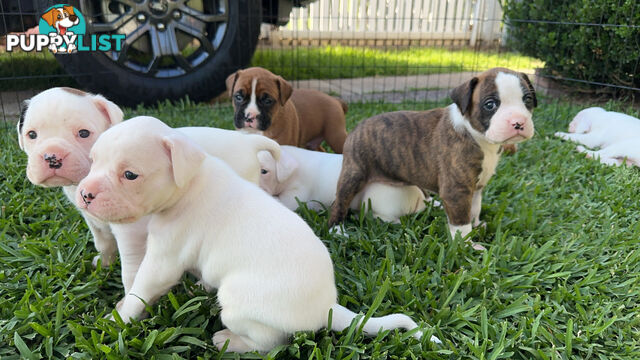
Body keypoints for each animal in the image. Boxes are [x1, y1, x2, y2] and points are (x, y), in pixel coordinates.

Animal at [15, 88, 278, 296]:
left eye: (83, 133)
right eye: (32, 135)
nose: (52, 156)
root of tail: (249, 142)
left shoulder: (131, 236)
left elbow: (130, 273)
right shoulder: (96, 223)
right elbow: (103, 243)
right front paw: (104, 264)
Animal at [72, 116, 438, 352]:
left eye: (130, 175)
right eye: (92, 161)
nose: (84, 195)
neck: (189, 182)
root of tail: (327, 308)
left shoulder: (164, 258)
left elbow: (141, 289)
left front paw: (119, 318)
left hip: (237, 303)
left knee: (268, 343)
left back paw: (230, 341)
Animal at [328, 67, 536, 249]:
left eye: (527, 100)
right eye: (490, 104)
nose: (518, 122)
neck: (477, 136)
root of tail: (357, 128)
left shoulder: (477, 186)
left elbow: (475, 207)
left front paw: (477, 224)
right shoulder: (457, 190)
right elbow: (461, 223)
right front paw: (466, 245)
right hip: (353, 174)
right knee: (340, 202)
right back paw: (336, 230)